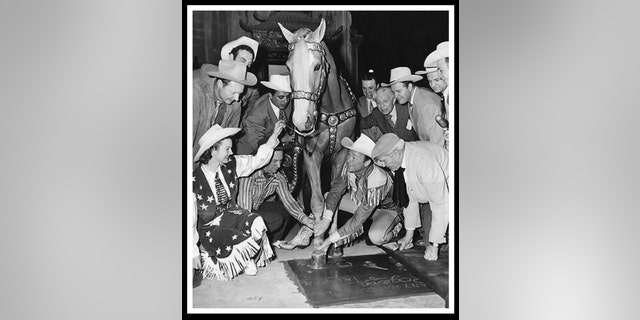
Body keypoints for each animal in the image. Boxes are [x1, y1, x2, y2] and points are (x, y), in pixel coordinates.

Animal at [278, 19, 358, 250]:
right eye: (288, 67)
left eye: (317, 66)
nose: (301, 121)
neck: (330, 110)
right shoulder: (311, 155)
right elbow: (317, 201)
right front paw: (318, 242)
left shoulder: (341, 155)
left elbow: (334, 196)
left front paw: (333, 243)